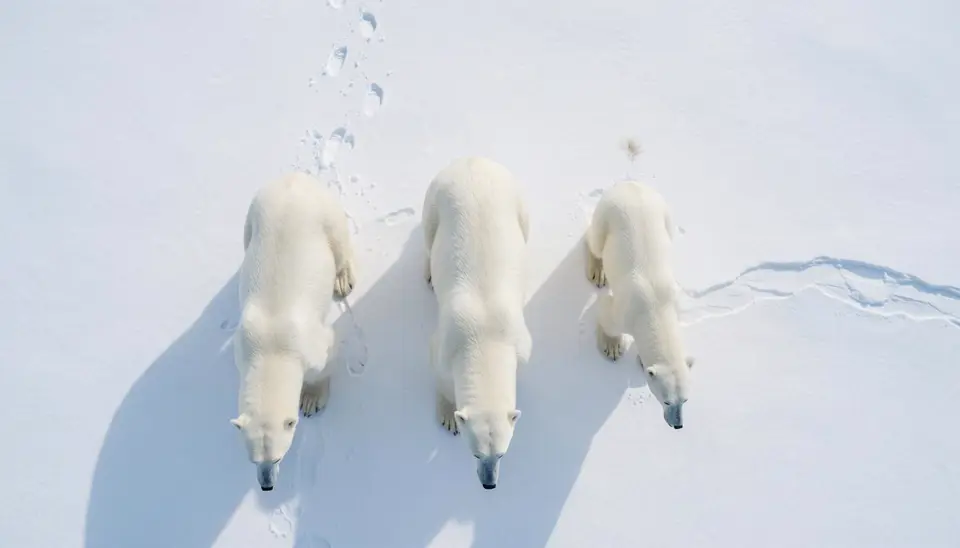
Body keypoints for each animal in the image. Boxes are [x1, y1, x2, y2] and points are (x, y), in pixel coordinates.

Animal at [232, 172, 356, 491]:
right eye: (254, 460)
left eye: (278, 456)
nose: (267, 485)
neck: (270, 347)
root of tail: (294, 178)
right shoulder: (243, 343)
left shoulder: (312, 343)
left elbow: (326, 358)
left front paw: (311, 399)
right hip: (254, 214)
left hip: (324, 213)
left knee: (339, 242)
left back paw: (342, 280)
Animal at [422, 156, 532, 490]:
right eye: (475, 453)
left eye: (502, 454)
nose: (489, 484)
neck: (486, 337)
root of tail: (473, 159)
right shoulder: (447, 339)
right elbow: (441, 373)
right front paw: (447, 415)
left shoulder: (520, 340)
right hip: (436, 199)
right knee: (428, 235)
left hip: (515, 198)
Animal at [584, 180, 694, 429]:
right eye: (666, 400)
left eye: (685, 399)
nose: (678, 425)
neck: (656, 307)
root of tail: (630, 184)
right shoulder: (624, 310)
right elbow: (606, 315)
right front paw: (612, 347)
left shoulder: (675, 301)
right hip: (608, 215)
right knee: (595, 240)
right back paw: (598, 269)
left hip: (664, 214)